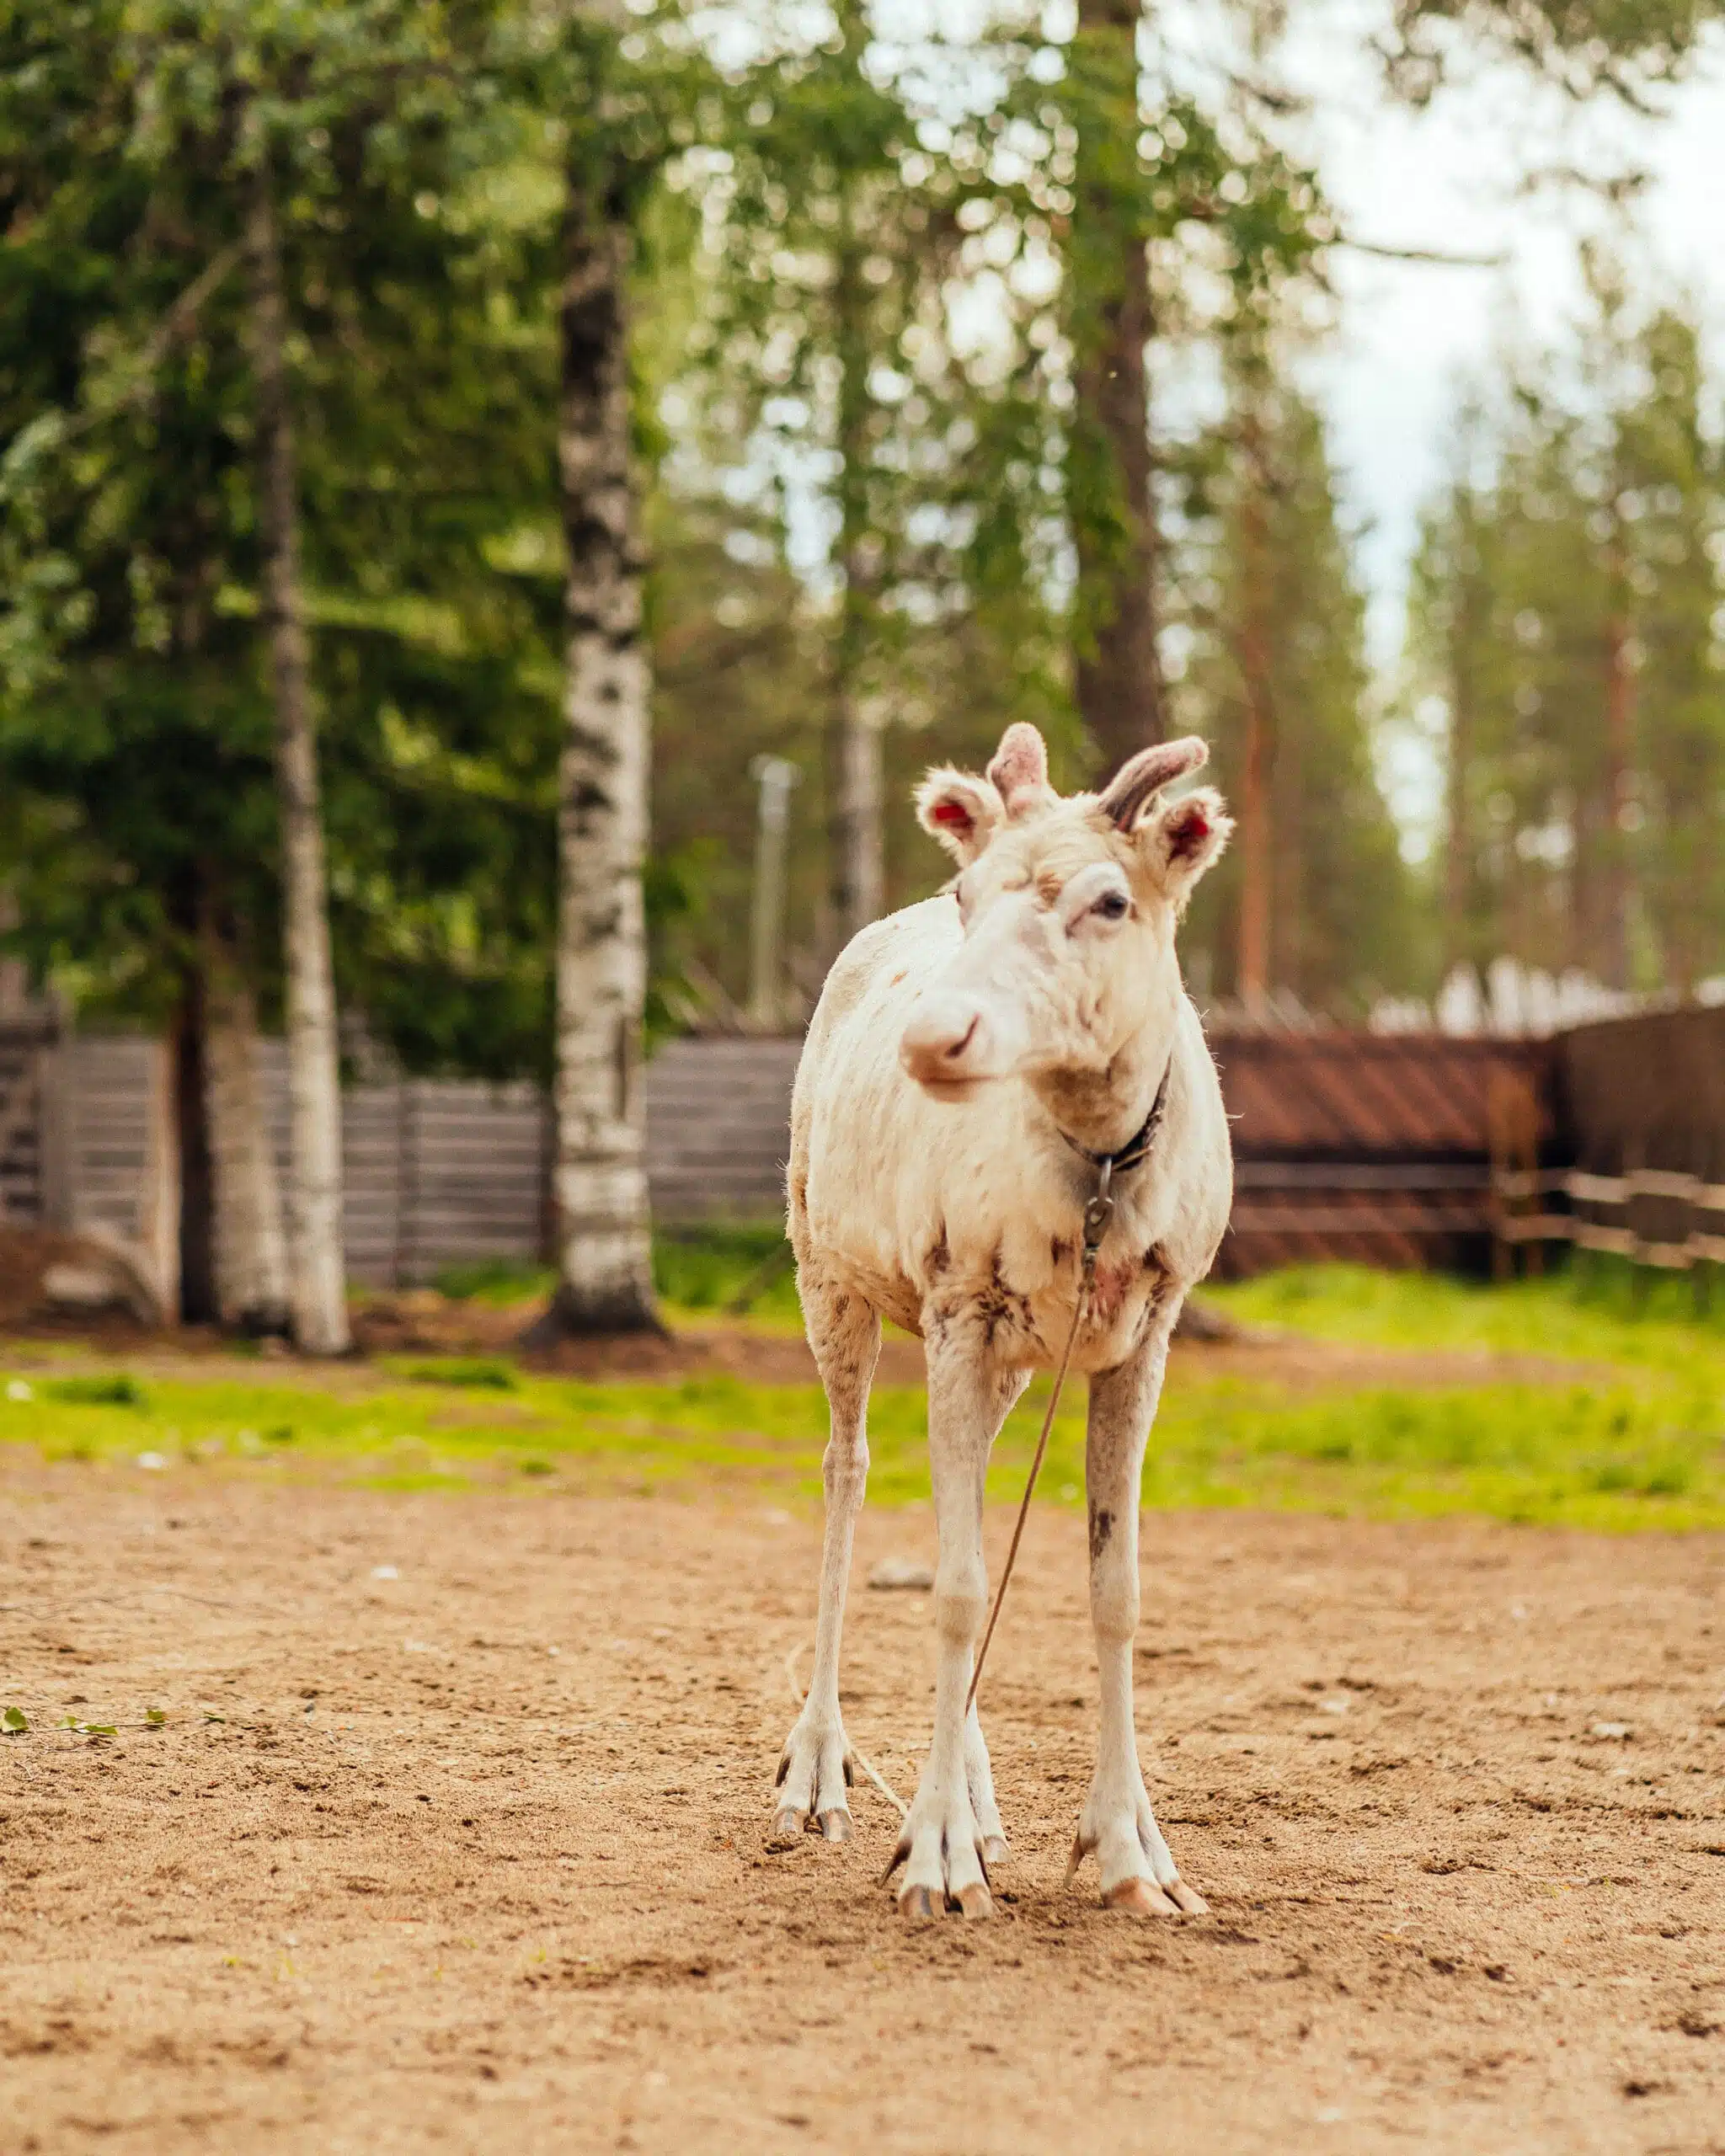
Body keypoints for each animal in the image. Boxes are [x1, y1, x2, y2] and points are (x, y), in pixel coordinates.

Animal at [773, 722, 1233, 1920]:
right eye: (965, 890)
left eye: (1110, 899)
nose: (935, 1036)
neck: (1100, 1174)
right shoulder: (955, 1299)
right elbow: (955, 1582)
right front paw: (932, 1854)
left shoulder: (1148, 1326)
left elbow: (1111, 1587)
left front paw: (1132, 1854)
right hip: (825, 1269)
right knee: (846, 1470)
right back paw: (818, 1774)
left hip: (1014, 1359)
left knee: (969, 1491)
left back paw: (979, 1802)